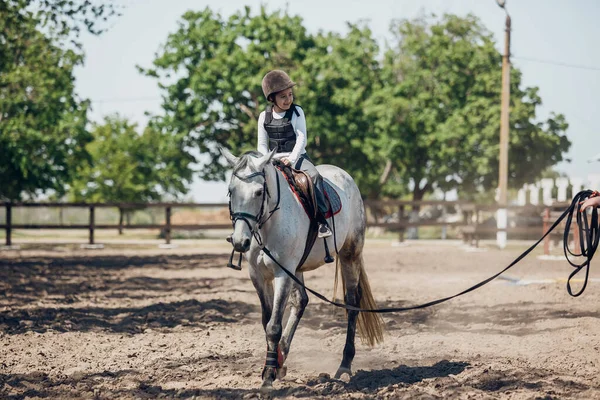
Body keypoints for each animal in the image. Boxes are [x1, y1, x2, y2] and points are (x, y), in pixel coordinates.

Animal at [220, 148, 384, 392]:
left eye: (259, 192)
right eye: (231, 191)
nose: (240, 241)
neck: (267, 224)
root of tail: (344, 175)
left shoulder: (282, 274)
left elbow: (273, 327)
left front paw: (268, 378)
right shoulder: (258, 276)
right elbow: (267, 321)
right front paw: (274, 365)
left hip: (349, 255)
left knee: (352, 303)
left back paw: (344, 367)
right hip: (297, 269)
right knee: (301, 301)